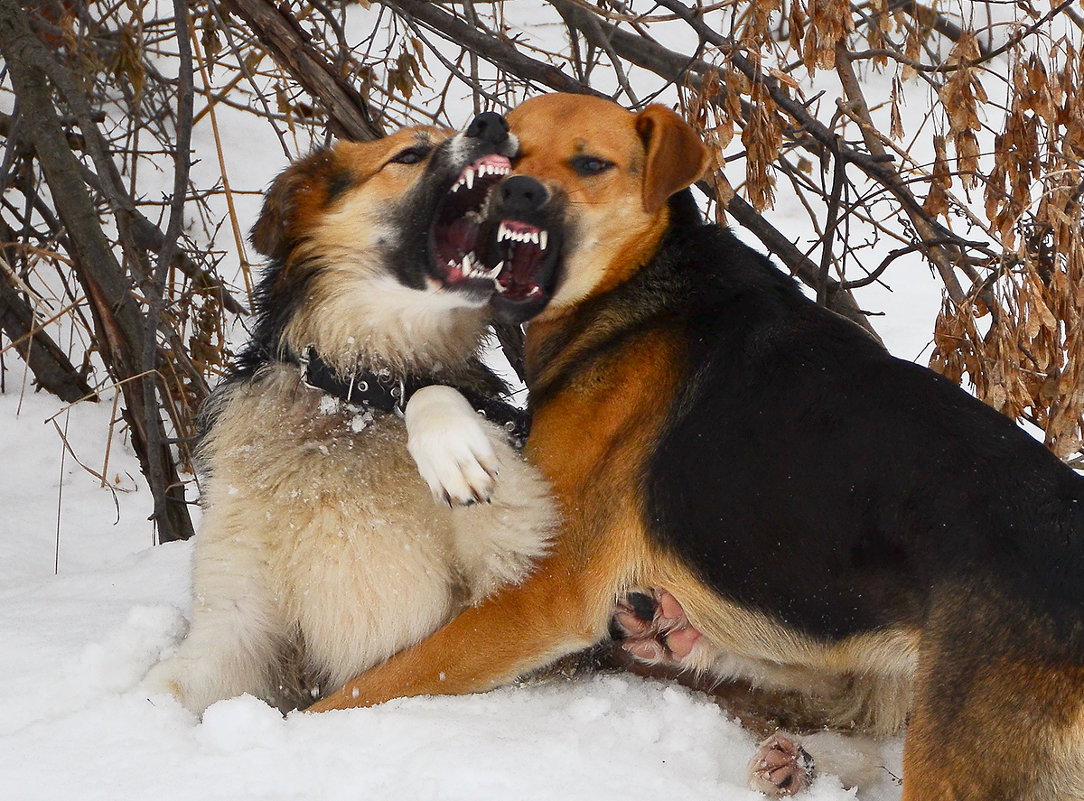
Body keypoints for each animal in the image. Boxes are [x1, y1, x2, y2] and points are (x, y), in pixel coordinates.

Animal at [139, 112, 555, 715]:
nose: (494, 123)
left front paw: (451, 450)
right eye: (410, 154)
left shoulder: (510, 568)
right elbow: (163, 690)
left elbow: (432, 396)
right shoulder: (236, 625)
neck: (349, 401)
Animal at [307, 93, 1084, 801]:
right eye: (510, 155)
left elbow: (376, 684)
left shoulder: (546, 592)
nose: (518, 191)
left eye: (592, 164)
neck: (636, 285)